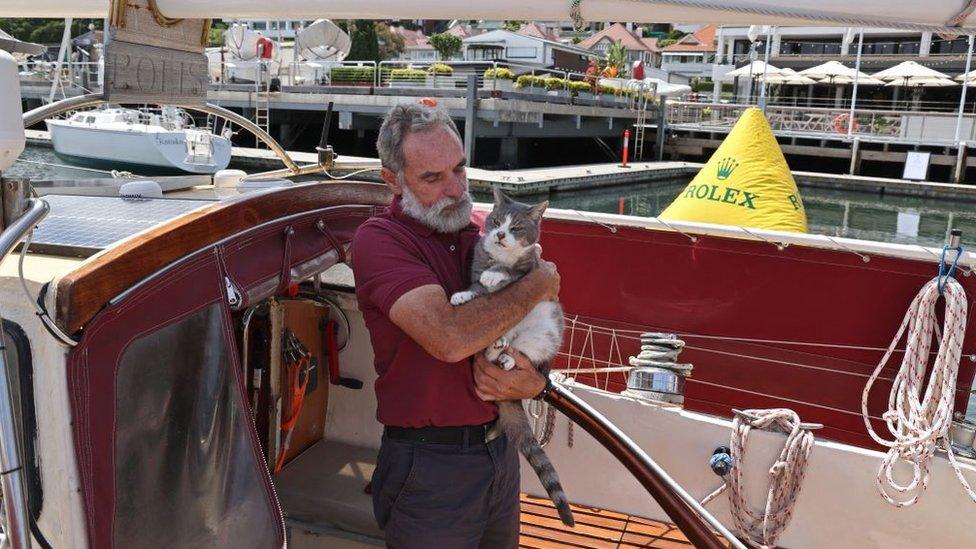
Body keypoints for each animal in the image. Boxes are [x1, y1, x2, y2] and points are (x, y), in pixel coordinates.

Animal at [450, 186, 572, 524]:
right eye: (495, 221)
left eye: (516, 227)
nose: (501, 234)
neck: (501, 255)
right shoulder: (477, 263)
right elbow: (476, 286)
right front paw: (464, 294)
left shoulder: (529, 270)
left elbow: (508, 273)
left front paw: (496, 275)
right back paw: (496, 347)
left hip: (546, 328)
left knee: (526, 353)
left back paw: (506, 356)